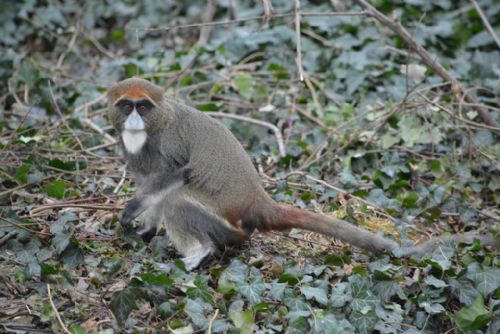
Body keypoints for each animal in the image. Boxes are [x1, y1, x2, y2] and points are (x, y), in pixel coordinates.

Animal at [107, 77, 498, 270]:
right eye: (126, 106)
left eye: (144, 107)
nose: (134, 119)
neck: (154, 128)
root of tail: (257, 203)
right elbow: (150, 185)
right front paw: (143, 228)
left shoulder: (170, 144)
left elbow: (174, 175)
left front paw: (133, 211)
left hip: (227, 226)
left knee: (179, 202)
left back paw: (197, 255)